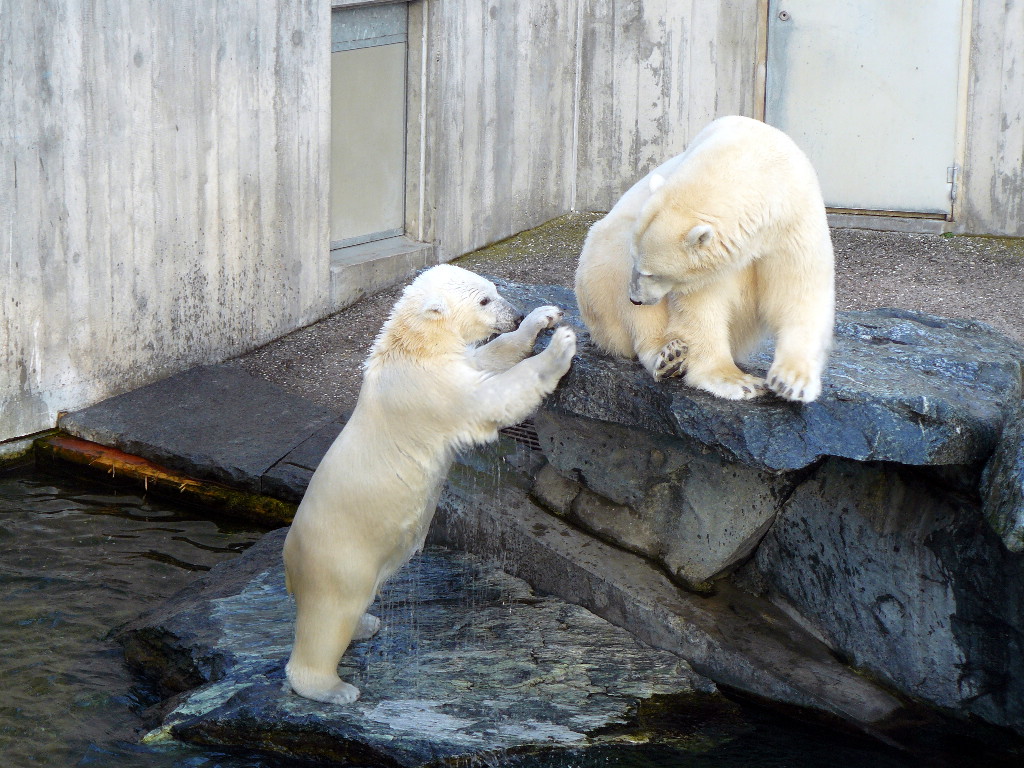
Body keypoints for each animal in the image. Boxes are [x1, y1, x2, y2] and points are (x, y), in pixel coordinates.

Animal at [282, 264, 577, 705]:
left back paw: (367, 624)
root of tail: (290, 560)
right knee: (328, 618)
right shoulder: (431, 390)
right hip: (338, 559)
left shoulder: (451, 364)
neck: (411, 348)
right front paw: (560, 346)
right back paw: (334, 688)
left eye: (494, 290)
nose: (515, 311)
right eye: (484, 300)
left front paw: (543, 318)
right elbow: (491, 399)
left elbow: (488, 358)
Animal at [574, 115, 835, 402]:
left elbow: (798, 289)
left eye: (652, 273)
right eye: (639, 264)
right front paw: (737, 381)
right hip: (598, 271)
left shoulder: (793, 219)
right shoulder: (712, 266)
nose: (636, 299)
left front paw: (792, 382)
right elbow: (701, 304)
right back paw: (669, 356)